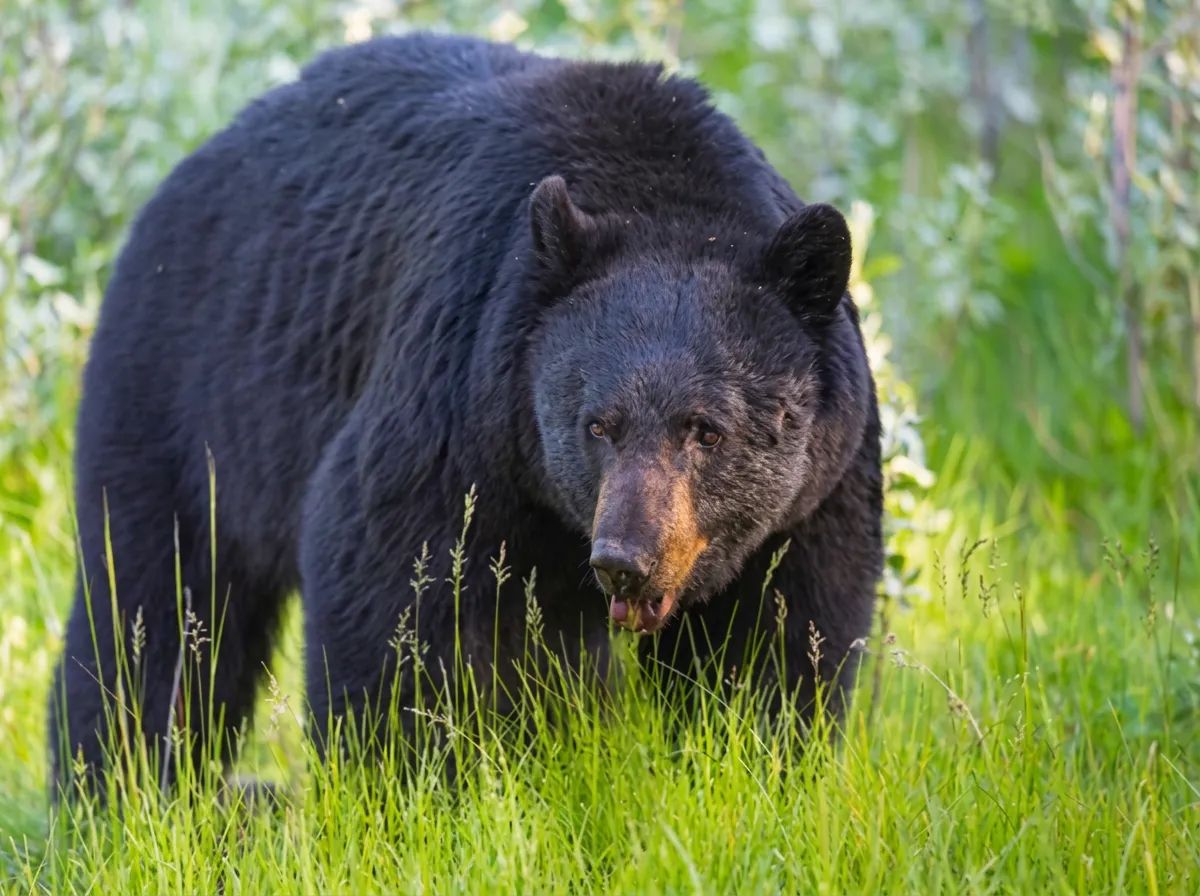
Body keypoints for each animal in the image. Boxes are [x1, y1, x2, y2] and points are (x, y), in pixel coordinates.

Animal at [50, 32, 882, 792]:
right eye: (596, 424)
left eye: (706, 430)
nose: (625, 558)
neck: (664, 195)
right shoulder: (460, 397)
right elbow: (394, 594)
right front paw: (414, 787)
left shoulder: (817, 492)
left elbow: (776, 640)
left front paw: (751, 764)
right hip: (187, 394)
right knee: (152, 606)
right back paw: (119, 791)